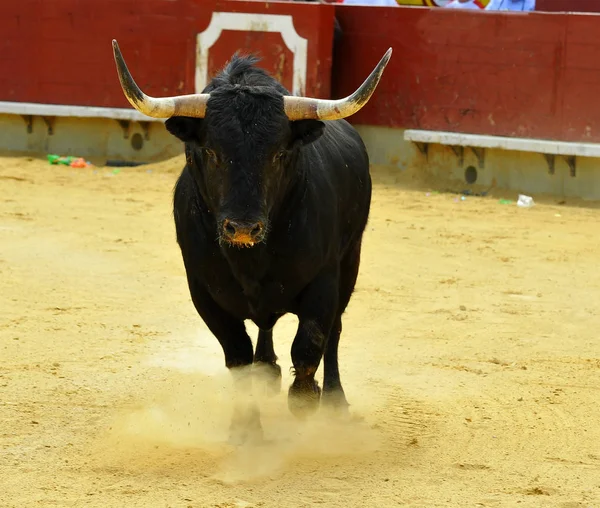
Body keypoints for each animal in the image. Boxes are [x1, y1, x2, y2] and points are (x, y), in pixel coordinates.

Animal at [112, 39, 394, 442]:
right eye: (211, 152)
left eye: (280, 153)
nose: (243, 228)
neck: (251, 260)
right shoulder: (204, 293)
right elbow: (238, 359)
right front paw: (246, 431)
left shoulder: (324, 282)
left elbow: (309, 347)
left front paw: (306, 399)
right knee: (265, 327)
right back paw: (268, 372)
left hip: (350, 260)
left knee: (334, 333)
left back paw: (334, 400)